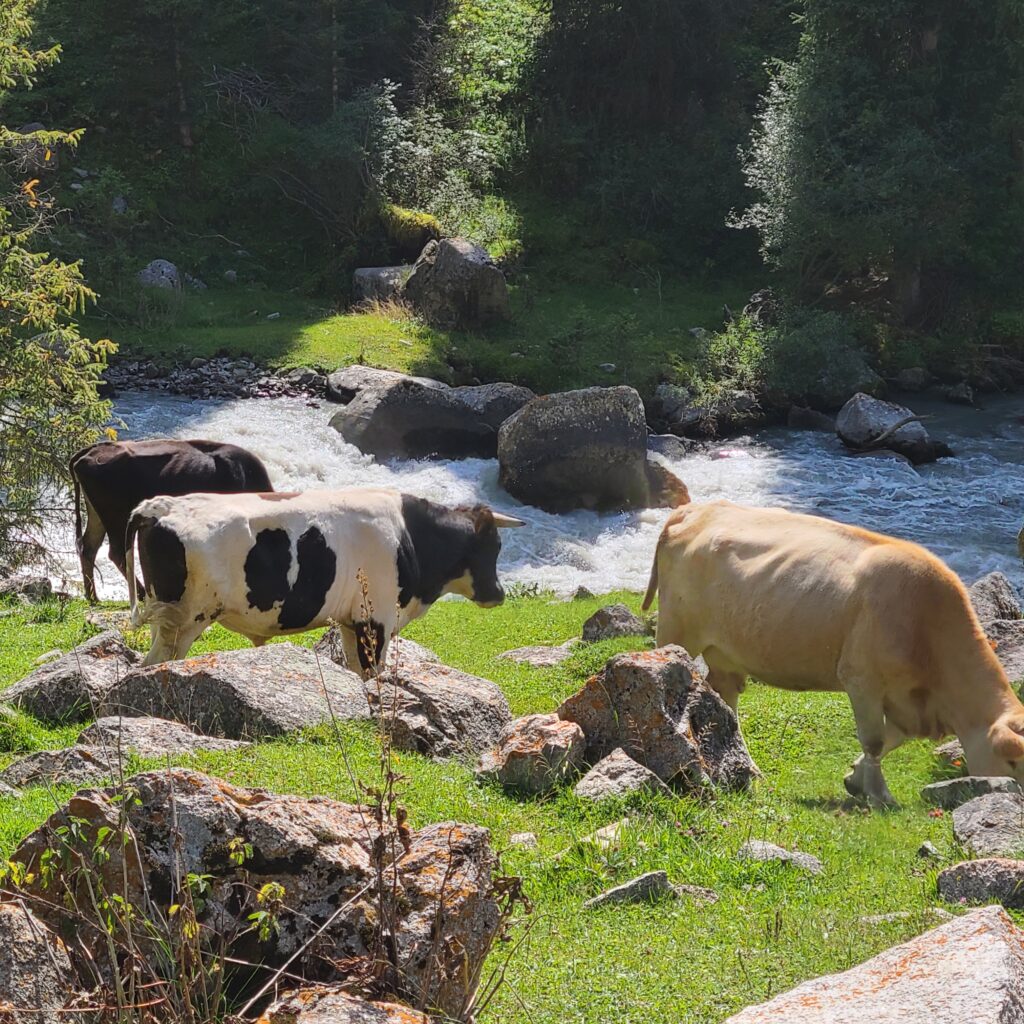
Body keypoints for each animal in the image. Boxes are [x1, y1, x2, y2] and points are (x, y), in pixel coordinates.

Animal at [70, 439, 274, 601]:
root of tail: (90, 453)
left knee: (89, 547)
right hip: (116, 517)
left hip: (98, 516)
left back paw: (93, 597)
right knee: (116, 552)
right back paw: (141, 595)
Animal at [124, 487, 524, 672]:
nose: (498, 593)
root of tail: (160, 506)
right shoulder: (376, 618)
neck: (409, 536)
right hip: (183, 619)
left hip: (166, 616)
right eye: (494, 546)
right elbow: (373, 673)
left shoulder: (352, 620)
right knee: (155, 663)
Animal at [642, 500, 1024, 805]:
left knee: (727, 701)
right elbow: (874, 740)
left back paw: (750, 768)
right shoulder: (861, 678)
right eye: (1012, 763)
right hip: (676, 631)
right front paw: (879, 795)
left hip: (726, 651)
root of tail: (696, 508)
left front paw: (855, 779)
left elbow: (892, 736)